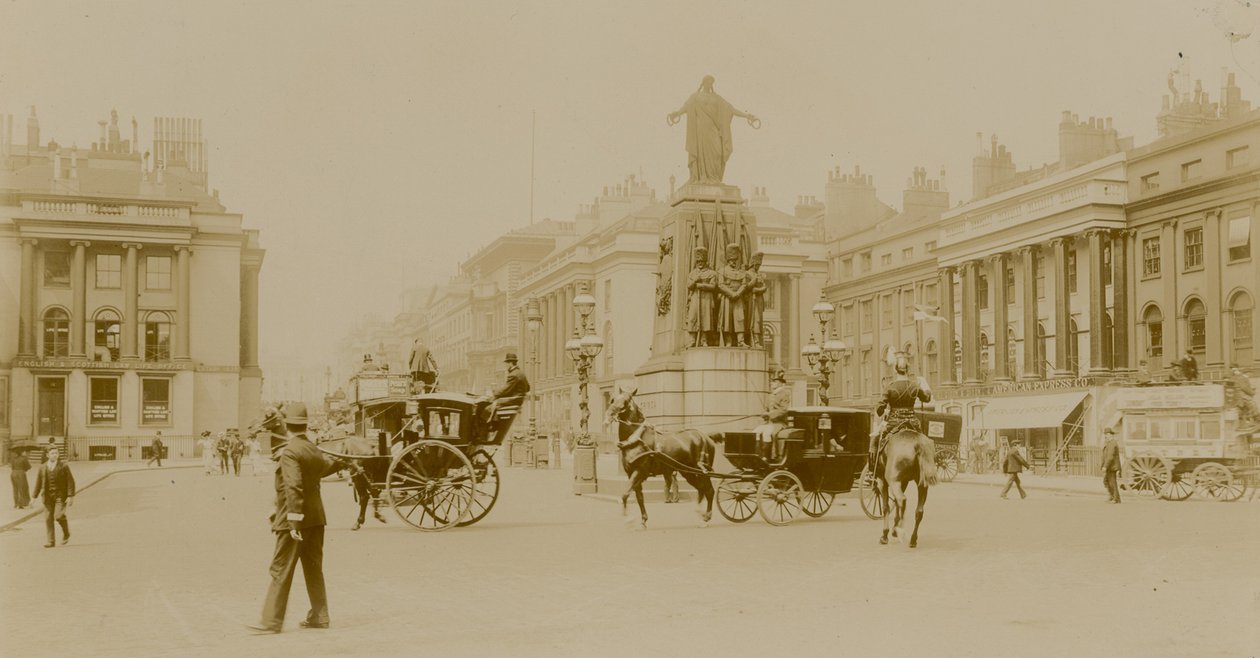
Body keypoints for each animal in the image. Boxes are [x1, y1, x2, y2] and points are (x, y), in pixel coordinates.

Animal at [604, 383, 715, 526]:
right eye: (613, 399)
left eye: (626, 401)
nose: (608, 416)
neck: (636, 438)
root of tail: (706, 437)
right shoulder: (632, 473)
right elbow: (639, 497)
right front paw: (643, 520)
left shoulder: (639, 471)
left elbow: (625, 493)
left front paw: (629, 519)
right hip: (688, 472)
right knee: (702, 489)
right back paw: (701, 513)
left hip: (702, 471)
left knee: (709, 491)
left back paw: (706, 517)